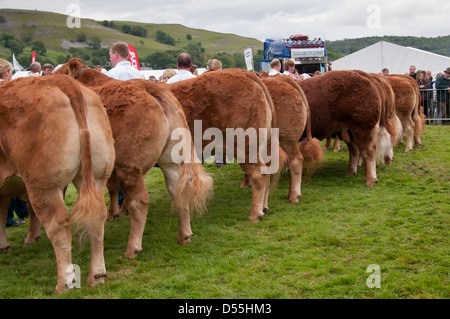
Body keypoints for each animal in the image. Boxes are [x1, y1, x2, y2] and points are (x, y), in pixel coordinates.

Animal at [0, 74, 116, 292]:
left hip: (43, 185)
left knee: (59, 225)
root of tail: (63, 80)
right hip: (96, 176)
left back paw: (64, 283)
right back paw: (97, 276)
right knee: (97, 218)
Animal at [56, 57, 213, 258]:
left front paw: (113, 214)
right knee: (178, 190)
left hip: (130, 165)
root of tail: (150, 87)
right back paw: (184, 235)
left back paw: (133, 248)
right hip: (170, 160)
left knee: (140, 201)